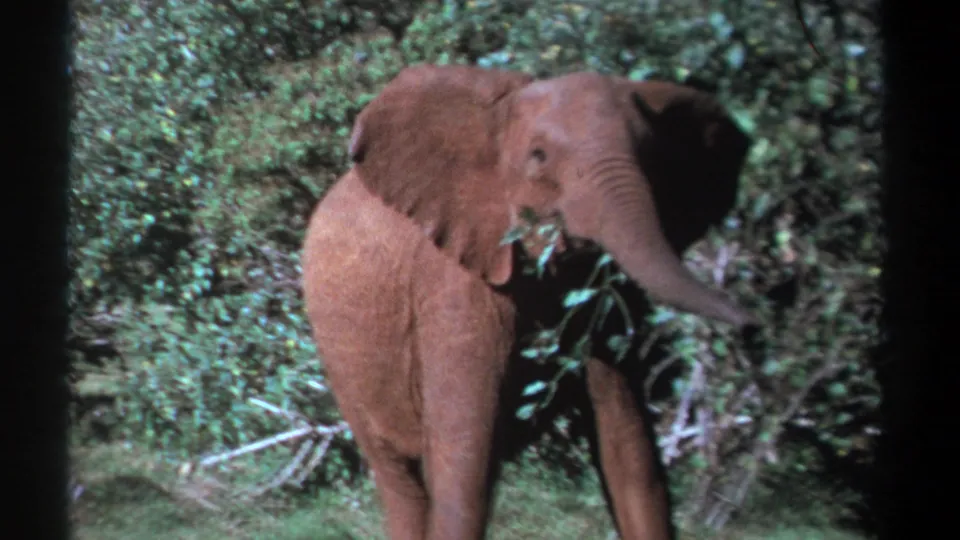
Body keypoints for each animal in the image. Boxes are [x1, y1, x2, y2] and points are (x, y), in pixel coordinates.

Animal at [301, 63, 757, 540]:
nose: (751, 327)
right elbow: (465, 461)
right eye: (538, 156)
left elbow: (629, 445)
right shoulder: (455, 276)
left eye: (652, 155)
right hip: (344, 364)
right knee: (400, 480)